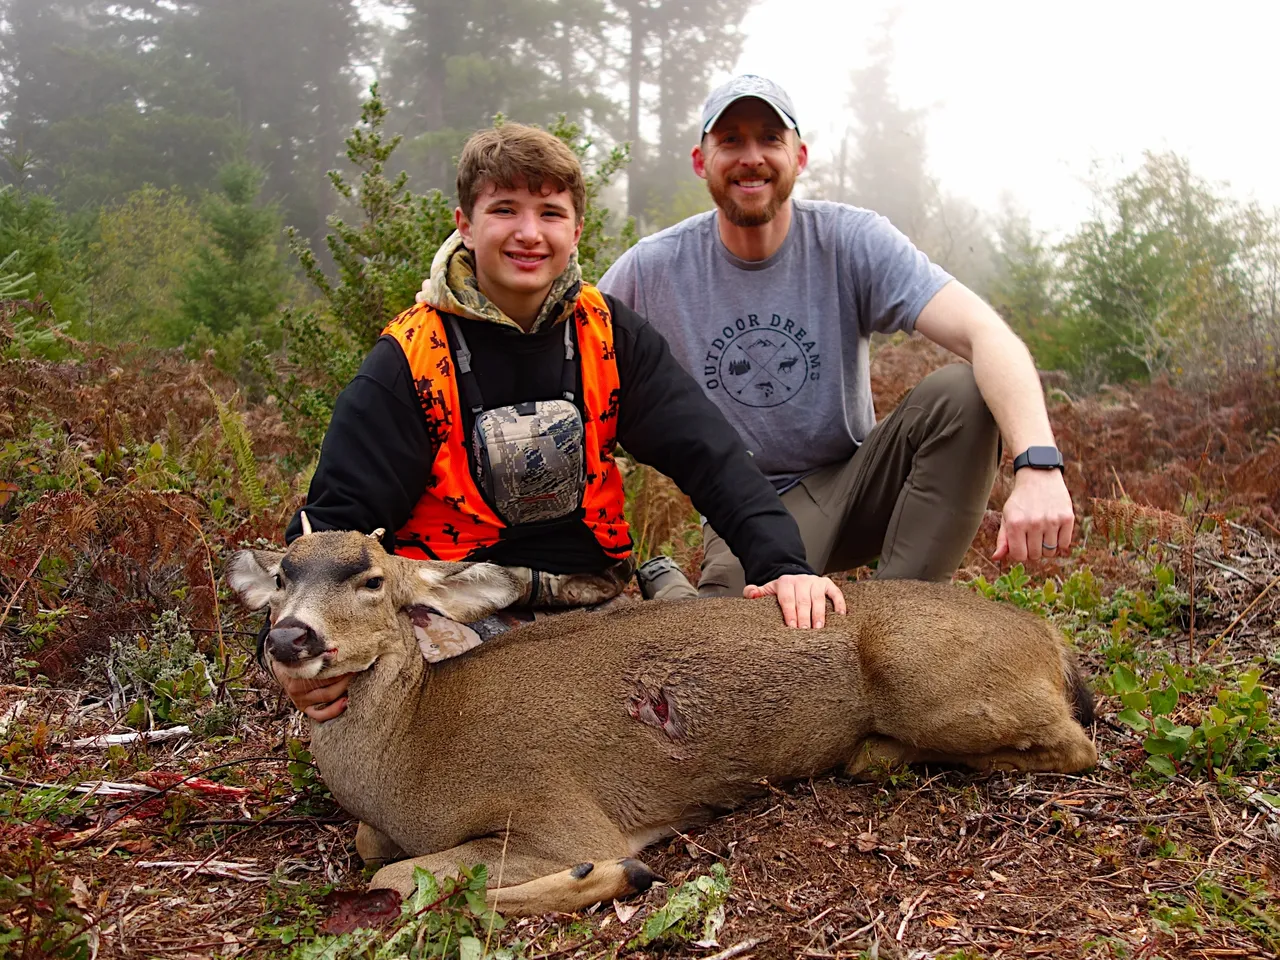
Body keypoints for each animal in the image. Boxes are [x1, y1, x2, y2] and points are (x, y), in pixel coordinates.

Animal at [227, 529, 1096, 917]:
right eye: (283, 576)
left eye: (372, 579)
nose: (290, 638)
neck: (412, 756)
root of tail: (1048, 636)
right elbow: (372, 851)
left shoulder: (555, 808)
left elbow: (400, 879)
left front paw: (614, 876)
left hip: (928, 678)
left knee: (1078, 746)